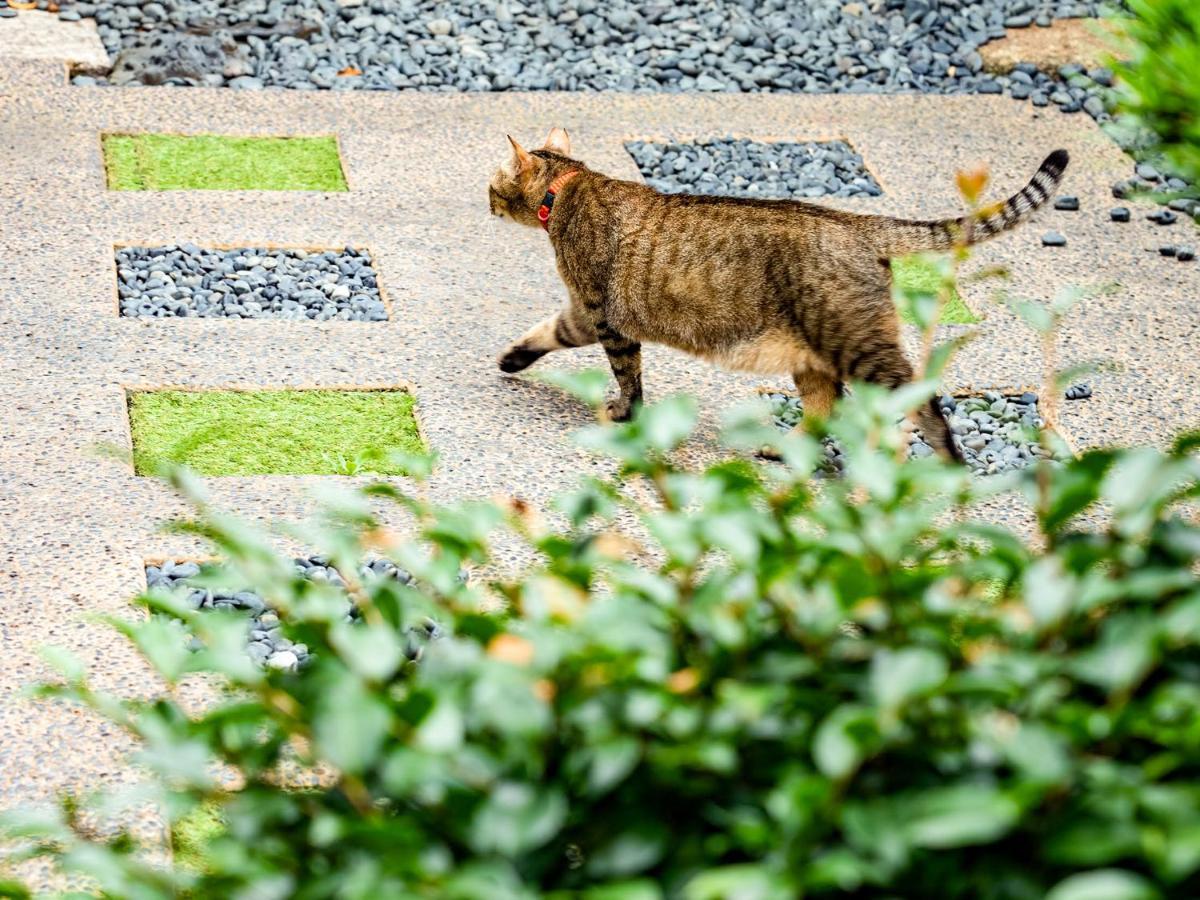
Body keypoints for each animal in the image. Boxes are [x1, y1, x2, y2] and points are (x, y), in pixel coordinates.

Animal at [487, 128, 1070, 458]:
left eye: (493, 184)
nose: (486, 201)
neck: (568, 188)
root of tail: (859, 223)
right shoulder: (588, 314)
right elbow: (551, 333)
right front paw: (513, 359)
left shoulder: (603, 316)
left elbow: (623, 374)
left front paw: (620, 411)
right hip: (813, 354)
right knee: (826, 405)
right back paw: (785, 451)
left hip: (859, 347)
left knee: (920, 404)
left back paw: (946, 466)